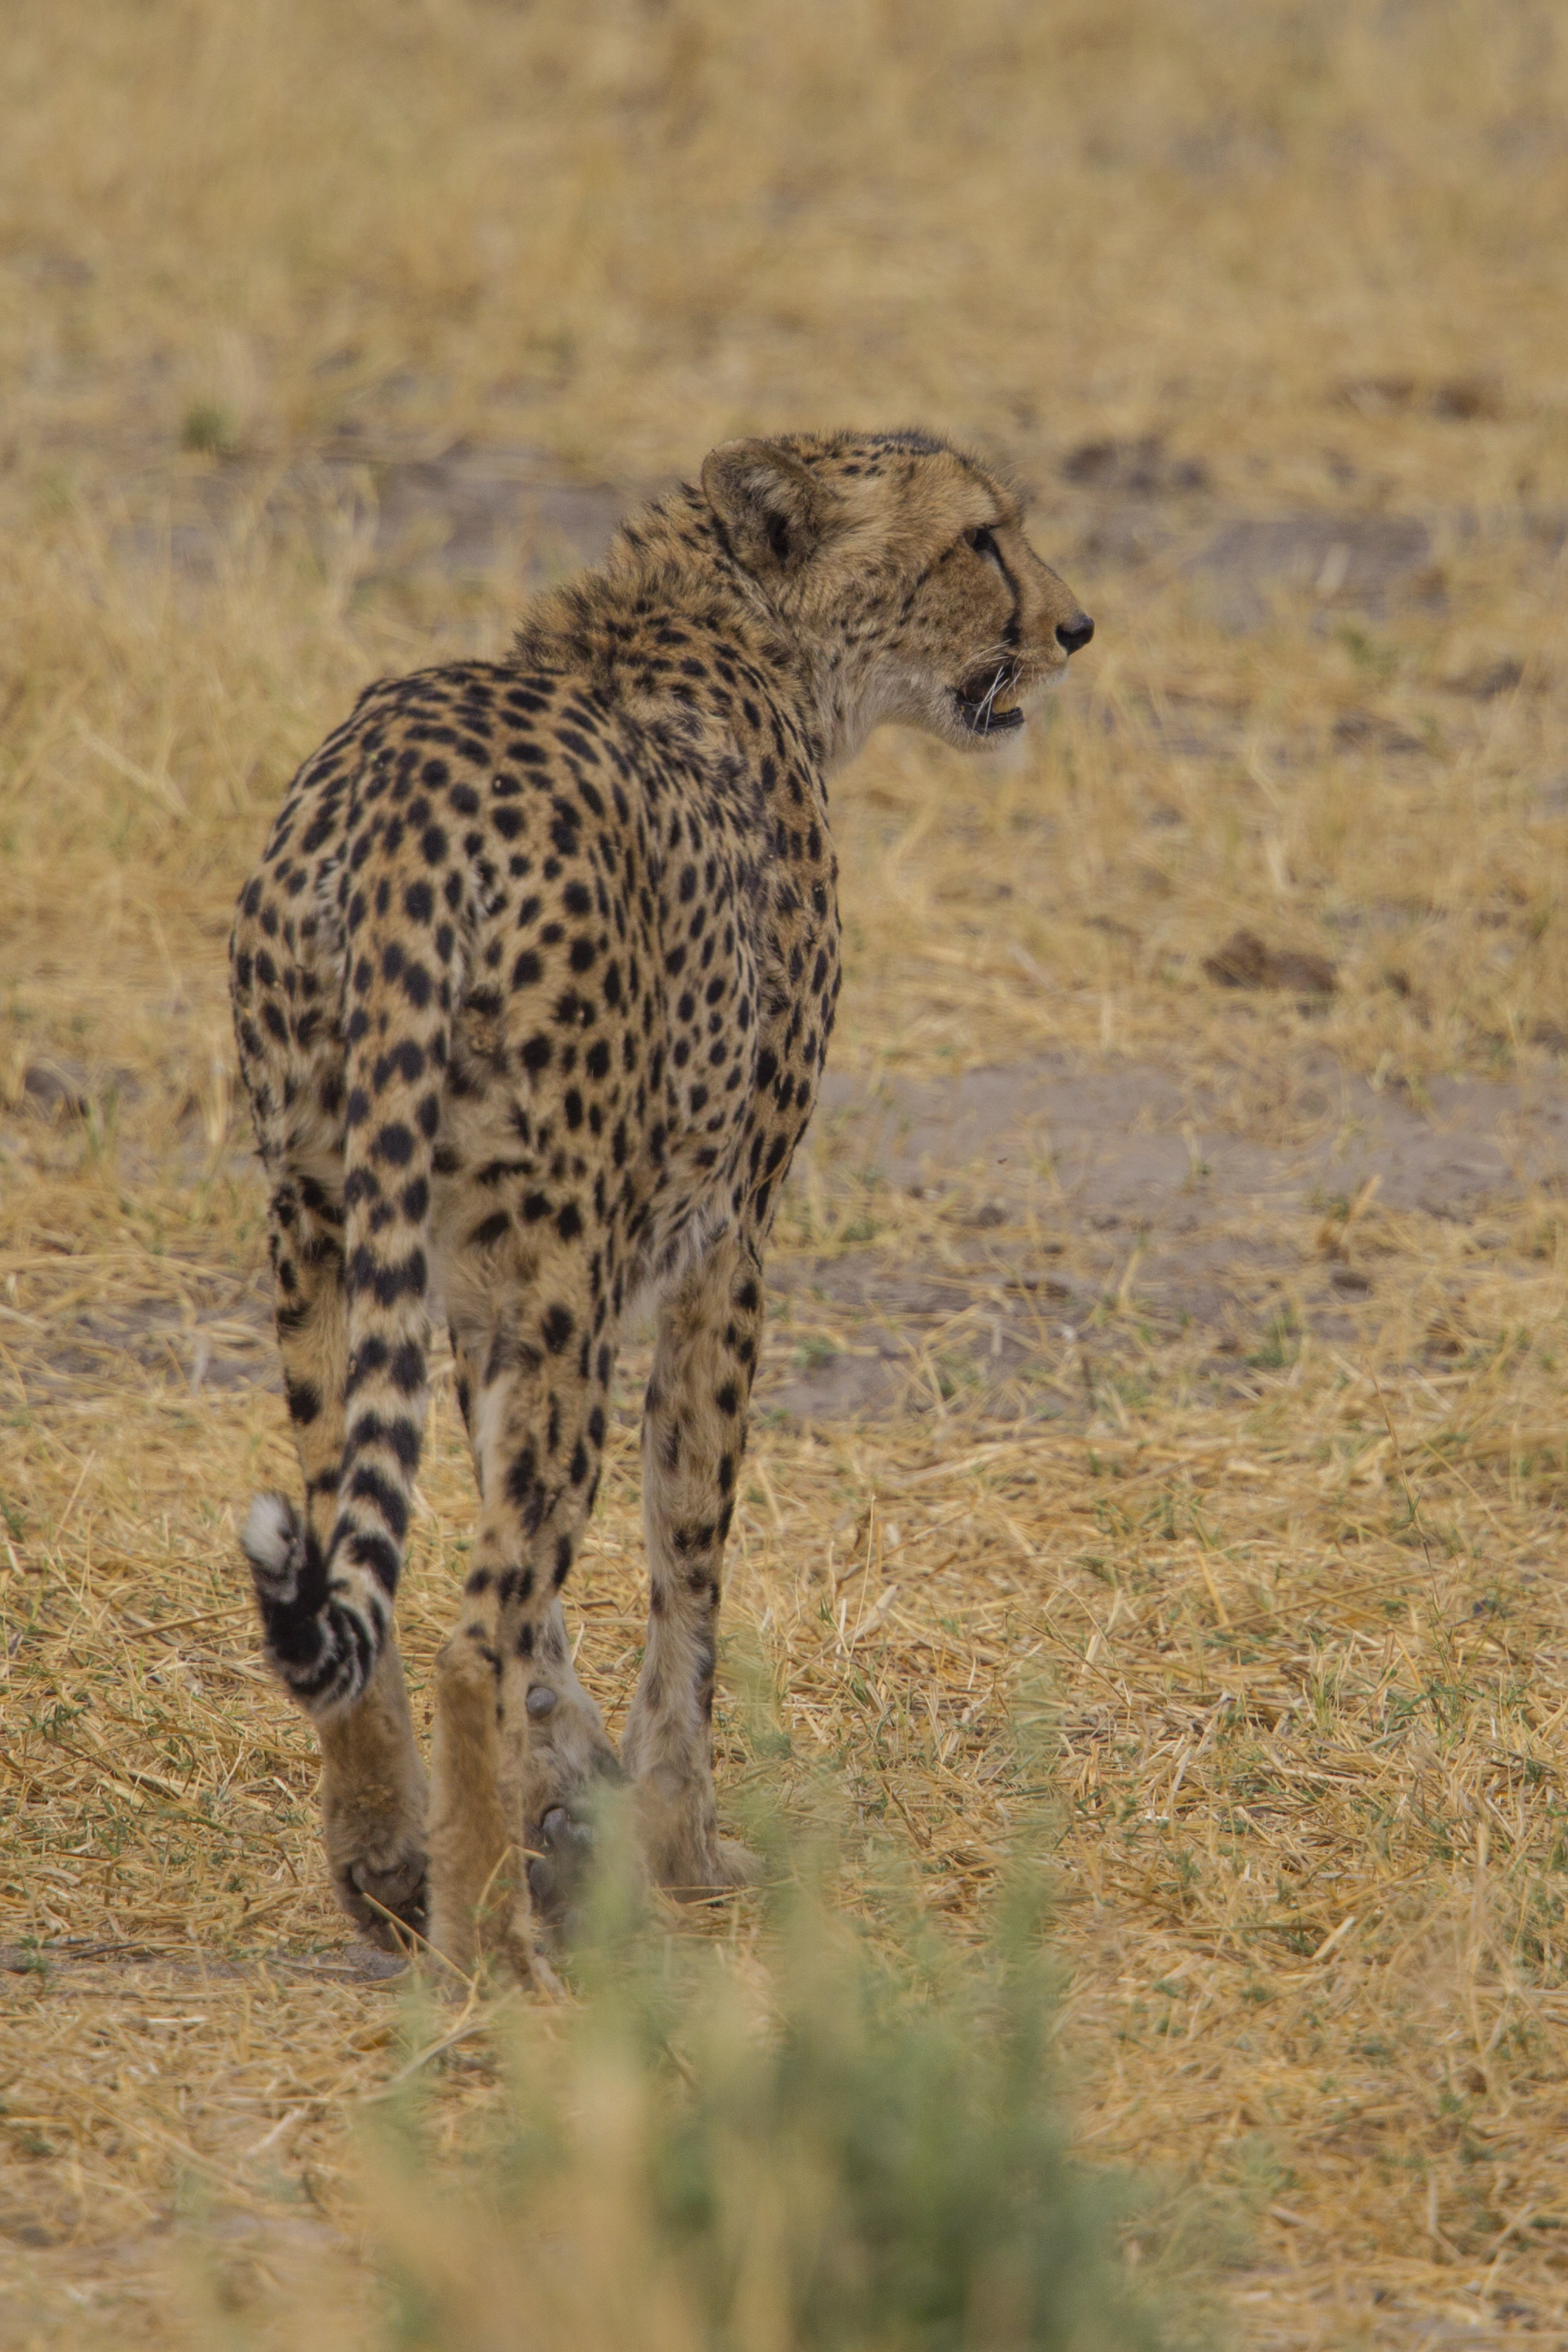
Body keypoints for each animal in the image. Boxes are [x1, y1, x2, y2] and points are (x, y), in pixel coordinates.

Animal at [233, 432, 1090, 1976]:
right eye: (981, 537)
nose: (1073, 627)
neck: (737, 628)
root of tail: (399, 813)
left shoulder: (480, 1278)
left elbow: (546, 1598)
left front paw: (575, 1802)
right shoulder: (721, 1239)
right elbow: (687, 1559)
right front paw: (675, 1840)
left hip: (323, 1230)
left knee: (356, 1562)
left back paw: (384, 1859)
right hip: (564, 1284)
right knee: (470, 1628)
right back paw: (483, 1949)